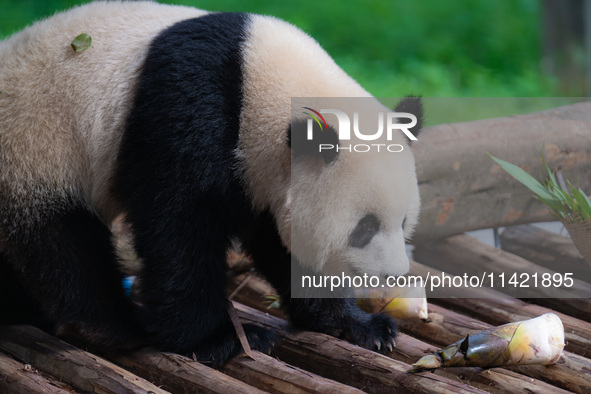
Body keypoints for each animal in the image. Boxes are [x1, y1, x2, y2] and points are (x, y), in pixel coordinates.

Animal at [0, 0, 420, 366]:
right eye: (364, 228)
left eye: (402, 223)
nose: (394, 275)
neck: (254, 78)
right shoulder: (187, 107)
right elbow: (178, 226)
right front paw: (220, 339)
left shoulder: (258, 177)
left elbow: (281, 244)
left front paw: (362, 327)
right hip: (34, 151)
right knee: (63, 244)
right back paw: (110, 325)